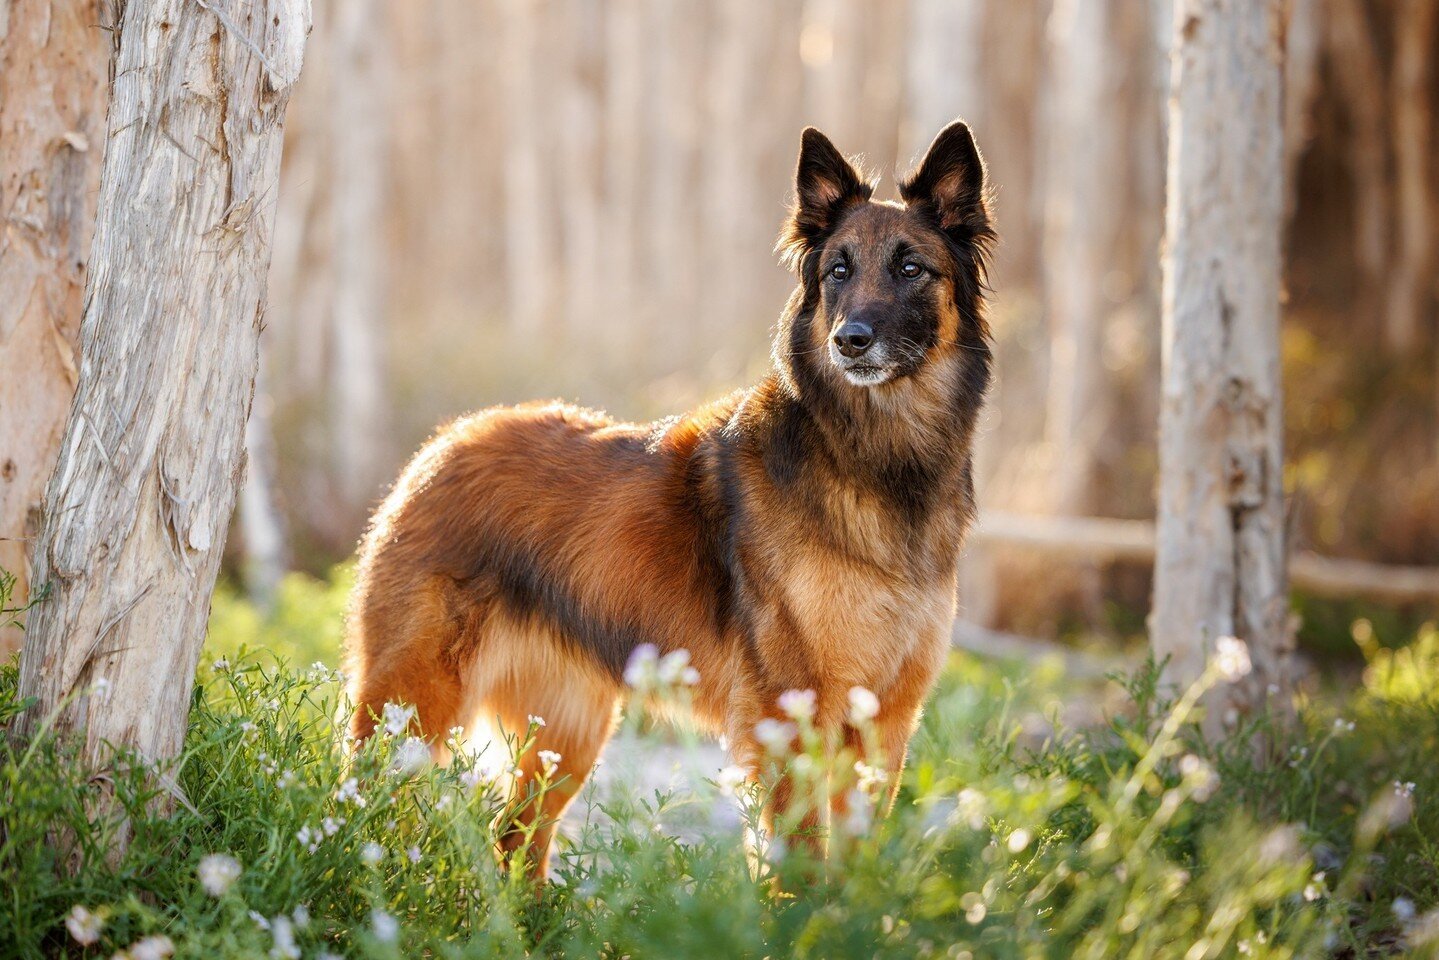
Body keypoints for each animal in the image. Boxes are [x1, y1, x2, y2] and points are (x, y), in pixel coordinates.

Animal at [343, 120, 995, 880]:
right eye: (837, 271)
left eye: (911, 268)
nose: (849, 342)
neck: (876, 460)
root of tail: (442, 442)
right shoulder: (791, 718)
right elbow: (800, 864)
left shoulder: (885, 724)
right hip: (411, 708)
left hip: (567, 732)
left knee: (517, 843)